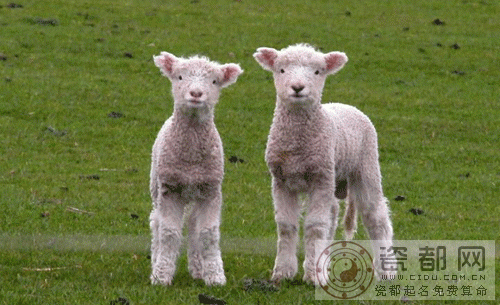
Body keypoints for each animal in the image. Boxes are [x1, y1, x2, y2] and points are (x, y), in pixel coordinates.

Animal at [149, 50, 243, 284]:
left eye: (214, 81)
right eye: (180, 77)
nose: (196, 93)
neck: (191, 158)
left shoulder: (211, 191)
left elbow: (207, 234)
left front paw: (215, 275)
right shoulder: (170, 189)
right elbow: (169, 232)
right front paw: (162, 275)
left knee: (192, 225)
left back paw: (198, 268)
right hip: (156, 185)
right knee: (156, 223)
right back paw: (155, 261)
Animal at [254, 43, 394, 282]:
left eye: (317, 72)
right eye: (281, 70)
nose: (298, 87)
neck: (297, 146)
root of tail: (345, 105)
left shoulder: (320, 178)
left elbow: (314, 226)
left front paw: (312, 275)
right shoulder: (281, 180)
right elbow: (286, 226)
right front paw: (283, 272)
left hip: (366, 165)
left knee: (376, 216)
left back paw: (386, 271)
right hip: (333, 176)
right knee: (333, 215)